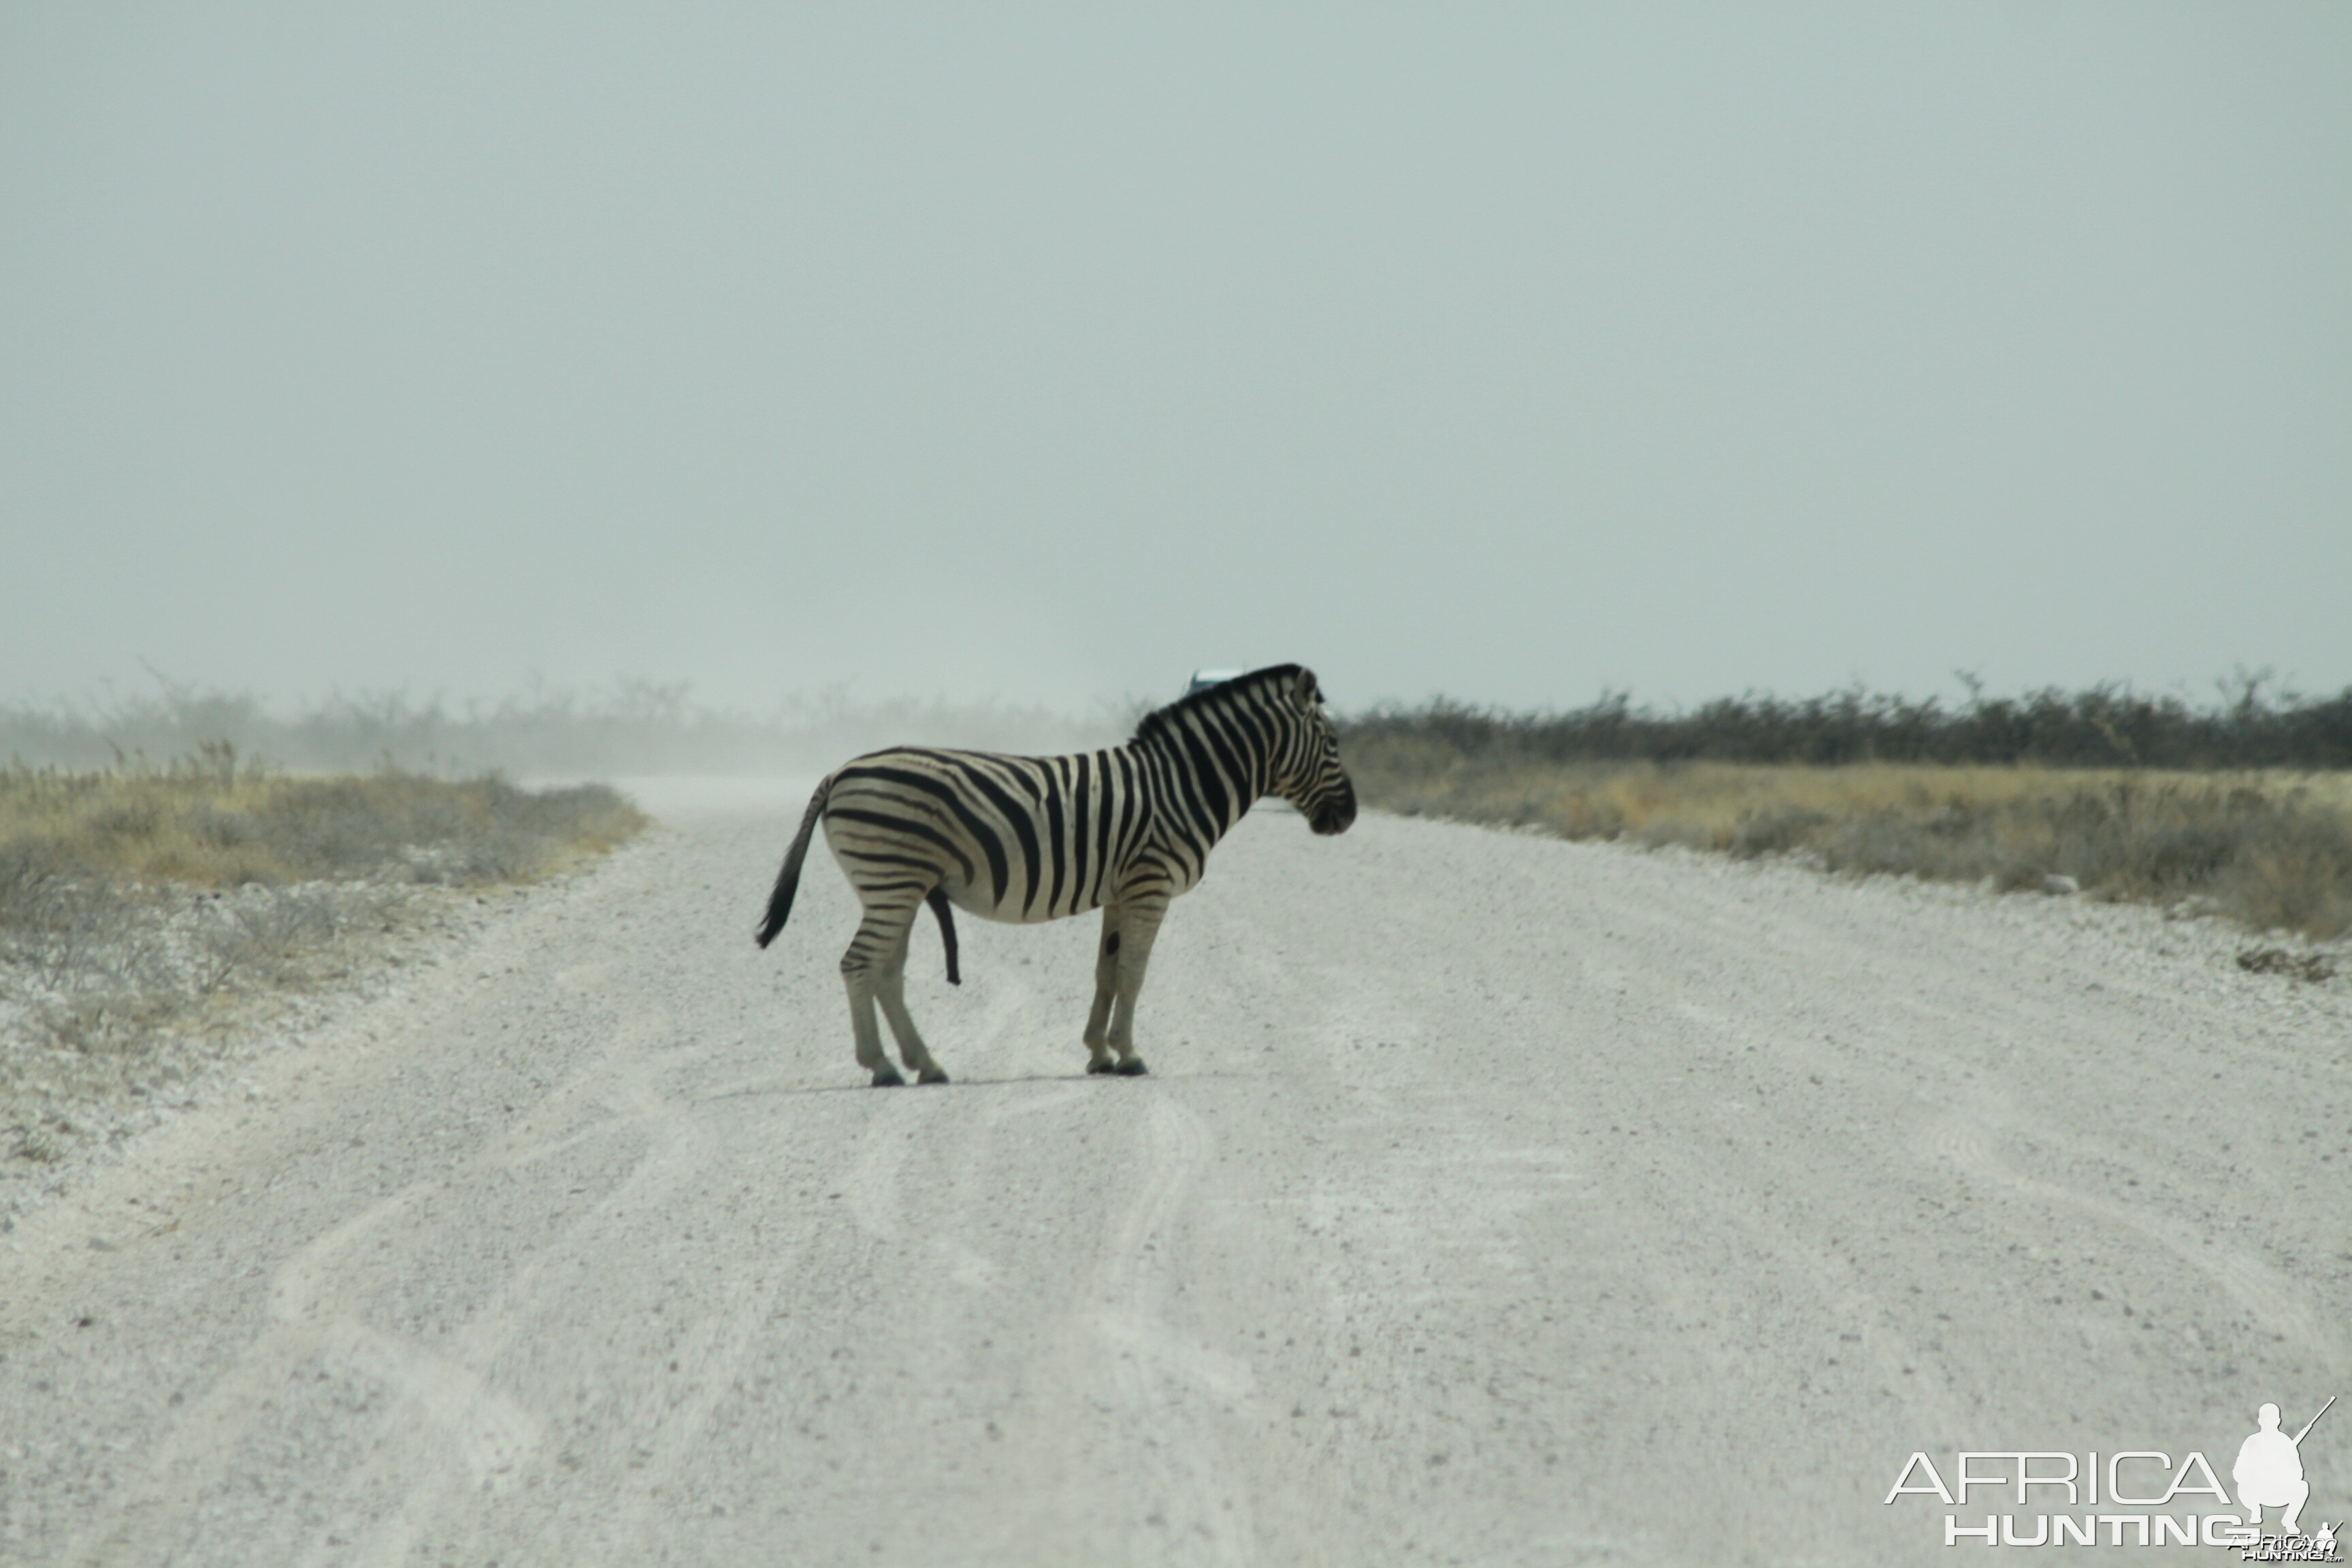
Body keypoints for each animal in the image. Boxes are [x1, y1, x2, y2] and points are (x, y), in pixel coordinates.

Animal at [752, 668, 1364, 1085]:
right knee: (859, 965)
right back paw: (881, 1067)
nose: (1350, 816)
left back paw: (924, 1064)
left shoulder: (1121, 891)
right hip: (892, 881)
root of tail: (838, 772)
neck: (1183, 785)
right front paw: (1130, 1055)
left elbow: (1106, 972)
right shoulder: (1150, 885)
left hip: (895, 886)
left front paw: (1099, 1052)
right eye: (1334, 744)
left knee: (885, 972)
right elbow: (1135, 973)